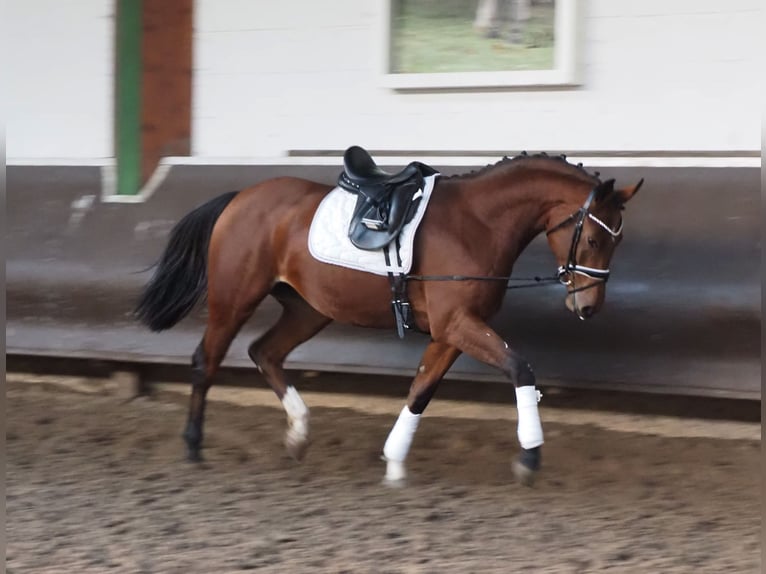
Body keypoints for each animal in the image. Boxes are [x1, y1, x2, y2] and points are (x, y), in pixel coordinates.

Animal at [136, 151, 640, 488]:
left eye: (615, 241)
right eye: (593, 239)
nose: (588, 307)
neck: (477, 222)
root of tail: (241, 197)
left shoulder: (452, 330)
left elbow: (421, 390)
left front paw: (394, 461)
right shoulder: (458, 323)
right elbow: (521, 368)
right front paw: (530, 456)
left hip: (309, 309)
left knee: (265, 352)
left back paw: (298, 434)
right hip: (234, 298)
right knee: (207, 360)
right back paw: (193, 445)